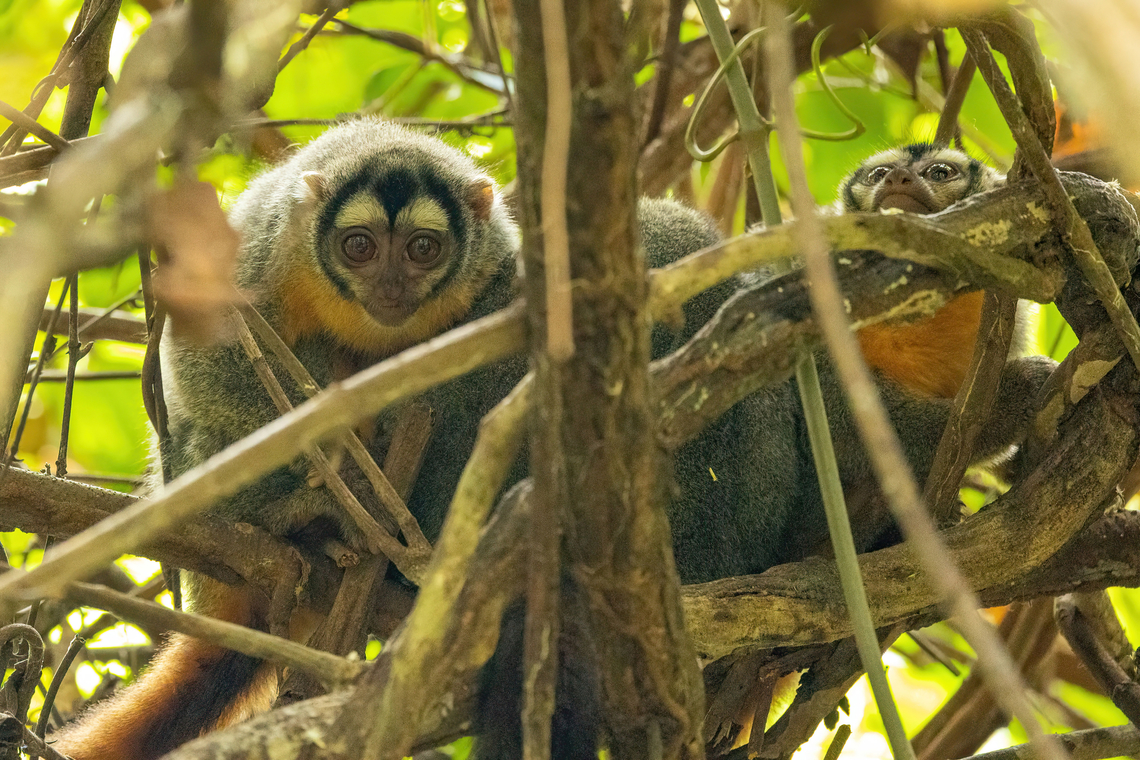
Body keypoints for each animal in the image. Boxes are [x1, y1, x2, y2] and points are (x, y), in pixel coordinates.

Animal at [49, 117, 726, 760]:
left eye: (423, 249)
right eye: (360, 247)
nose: (392, 286)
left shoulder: (491, 261)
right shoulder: (272, 247)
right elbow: (207, 353)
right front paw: (342, 475)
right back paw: (297, 516)